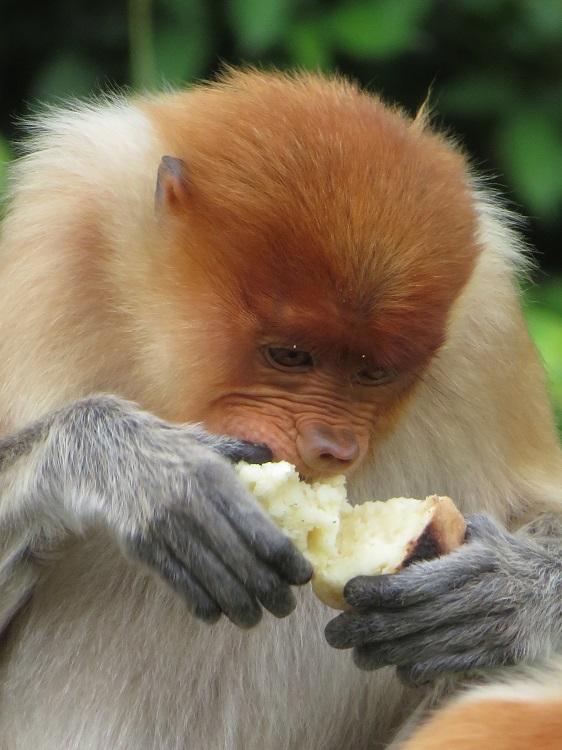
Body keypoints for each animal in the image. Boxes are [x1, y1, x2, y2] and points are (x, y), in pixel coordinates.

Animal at [0, 67, 561, 749]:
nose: (334, 447)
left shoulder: (487, 327)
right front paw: (148, 475)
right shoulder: (51, 255)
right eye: (290, 355)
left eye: (374, 373)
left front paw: (508, 589)